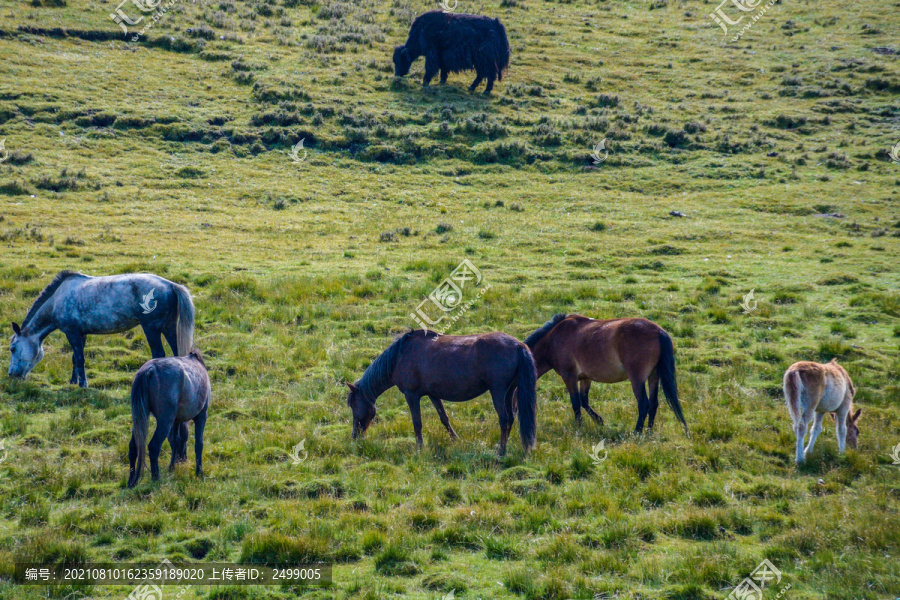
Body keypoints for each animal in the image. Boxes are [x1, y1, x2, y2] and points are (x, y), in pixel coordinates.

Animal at [7, 274, 193, 390]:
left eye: (13, 348)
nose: (11, 375)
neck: (56, 300)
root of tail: (170, 285)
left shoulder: (72, 333)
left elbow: (80, 359)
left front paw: (83, 384)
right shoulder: (81, 334)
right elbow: (75, 358)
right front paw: (73, 381)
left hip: (151, 329)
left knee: (158, 354)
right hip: (169, 327)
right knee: (176, 352)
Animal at [127, 350, 210, 490]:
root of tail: (149, 370)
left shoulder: (176, 420)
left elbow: (175, 440)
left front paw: (172, 467)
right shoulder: (201, 416)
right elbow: (199, 444)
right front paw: (199, 472)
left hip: (141, 418)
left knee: (133, 447)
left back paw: (131, 482)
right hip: (165, 421)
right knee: (154, 446)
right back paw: (156, 478)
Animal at [344, 328, 536, 454]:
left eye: (353, 405)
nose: (354, 436)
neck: (400, 356)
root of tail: (518, 345)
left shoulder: (411, 395)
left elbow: (417, 423)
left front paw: (420, 448)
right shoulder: (433, 394)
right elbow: (444, 418)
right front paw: (455, 440)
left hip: (498, 391)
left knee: (504, 419)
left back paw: (501, 451)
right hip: (509, 392)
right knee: (511, 418)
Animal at [520, 314, 688, 436]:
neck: (554, 338)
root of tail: (658, 331)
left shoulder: (569, 377)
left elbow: (575, 403)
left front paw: (579, 427)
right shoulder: (586, 378)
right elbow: (584, 401)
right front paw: (599, 421)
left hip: (637, 378)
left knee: (644, 404)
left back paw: (637, 432)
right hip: (654, 376)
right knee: (653, 404)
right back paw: (648, 432)